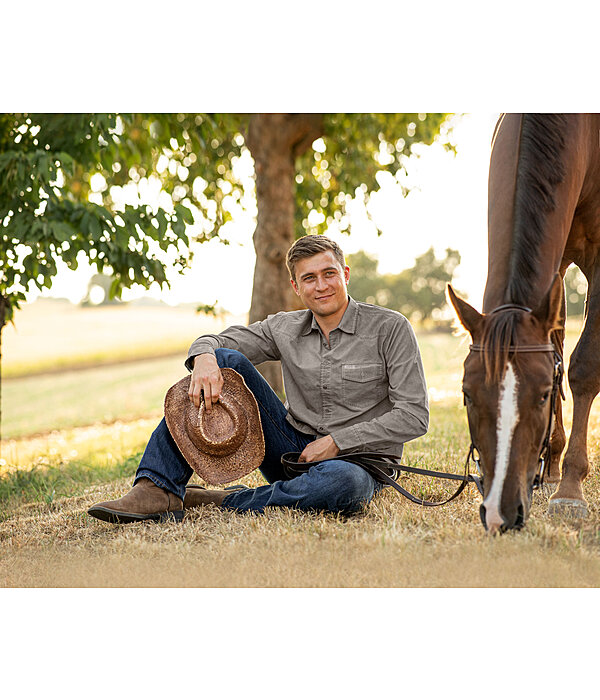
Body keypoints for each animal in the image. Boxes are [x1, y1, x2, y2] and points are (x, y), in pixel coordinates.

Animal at [450, 113, 600, 536]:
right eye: (467, 395)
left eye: (543, 395)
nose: (500, 513)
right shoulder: (556, 266)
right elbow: (558, 347)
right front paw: (553, 470)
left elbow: (584, 367)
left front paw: (570, 489)